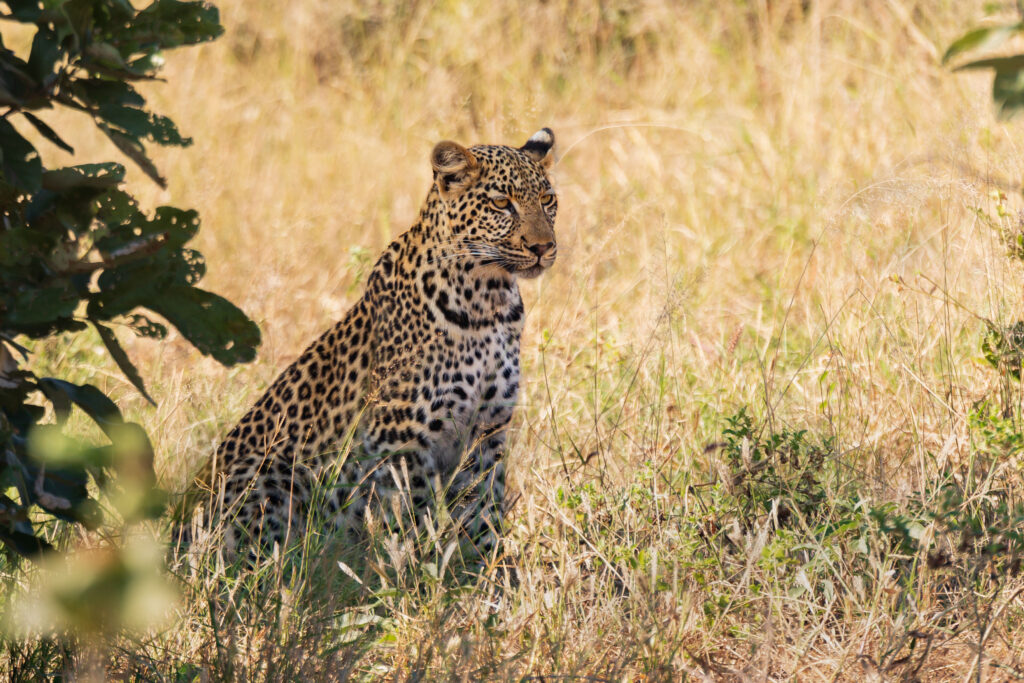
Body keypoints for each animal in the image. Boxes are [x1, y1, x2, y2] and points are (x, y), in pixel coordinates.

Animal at [190, 128, 558, 561]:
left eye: (547, 200)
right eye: (502, 203)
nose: (543, 247)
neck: (488, 300)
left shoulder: (487, 429)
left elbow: (483, 510)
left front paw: (485, 570)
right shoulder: (401, 439)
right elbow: (416, 515)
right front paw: (422, 569)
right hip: (268, 469)